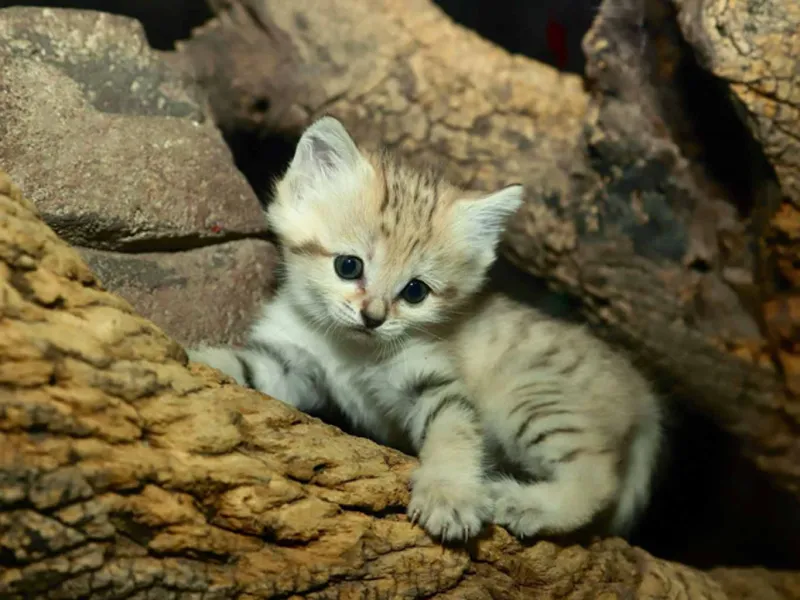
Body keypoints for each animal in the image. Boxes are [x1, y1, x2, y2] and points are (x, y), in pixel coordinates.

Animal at [189, 115, 664, 540]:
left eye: (415, 291)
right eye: (348, 266)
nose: (373, 317)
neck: (351, 351)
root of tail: (644, 396)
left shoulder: (432, 380)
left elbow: (452, 433)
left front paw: (449, 494)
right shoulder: (291, 364)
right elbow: (241, 368)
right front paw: (191, 358)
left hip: (532, 398)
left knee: (597, 476)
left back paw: (527, 503)